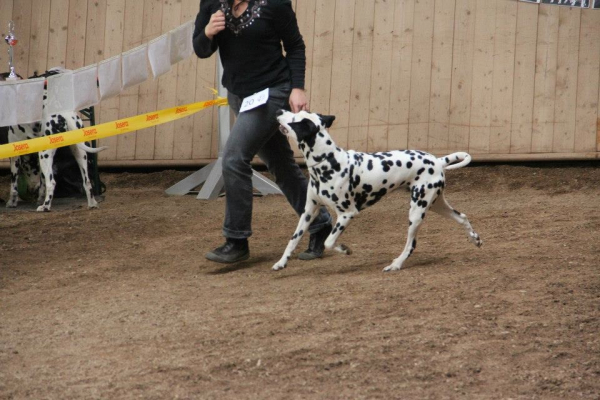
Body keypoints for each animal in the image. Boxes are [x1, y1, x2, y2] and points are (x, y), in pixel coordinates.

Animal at [272, 108, 482, 272]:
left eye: (294, 118)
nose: (278, 110)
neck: (328, 162)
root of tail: (438, 161)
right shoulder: (309, 211)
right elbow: (293, 240)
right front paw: (281, 262)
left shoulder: (347, 213)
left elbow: (329, 242)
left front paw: (345, 249)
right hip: (436, 204)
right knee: (462, 217)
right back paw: (475, 239)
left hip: (416, 212)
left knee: (411, 244)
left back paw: (396, 264)